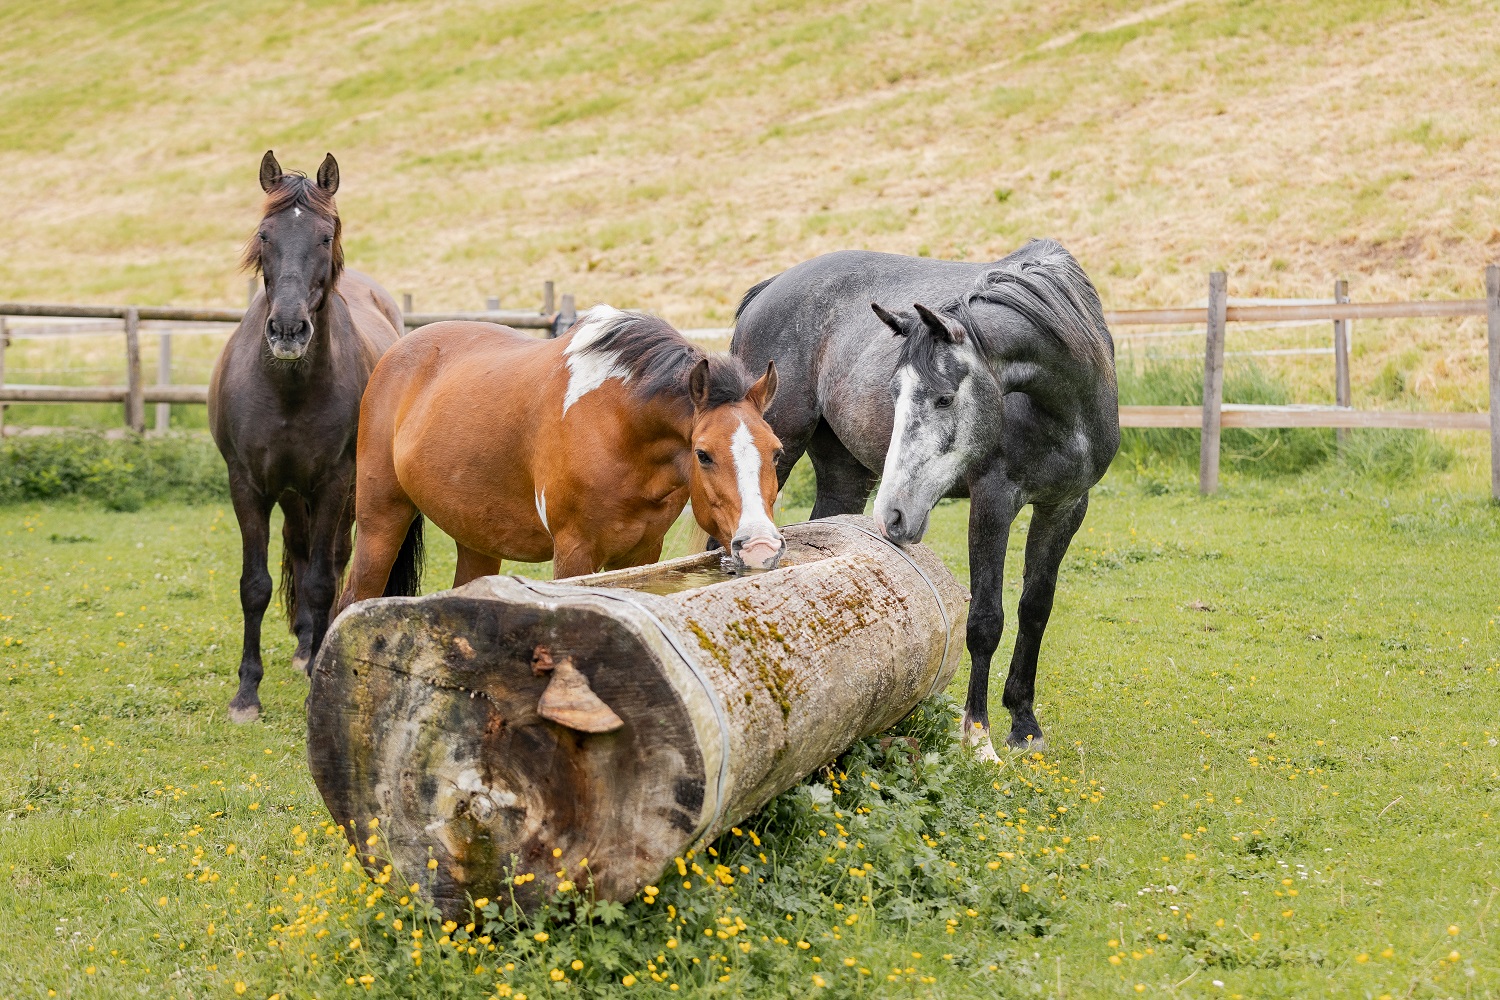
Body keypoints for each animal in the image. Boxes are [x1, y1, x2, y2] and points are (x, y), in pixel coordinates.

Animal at [208, 150, 404, 724]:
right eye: (264, 234)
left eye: (325, 235)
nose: (289, 330)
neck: (289, 388)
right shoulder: (247, 485)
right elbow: (254, 586)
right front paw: (246, 694)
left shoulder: (334, 483)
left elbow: (321, 579)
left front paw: (320, 670)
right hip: (292, 494)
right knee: (297, 547)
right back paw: (300, 646)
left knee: (334, 558)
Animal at [338, 306, 785, 605]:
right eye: (703, 454)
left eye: (776, 452)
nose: (761, 547)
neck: (618, 423)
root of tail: (396, 352)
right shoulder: (574, 552)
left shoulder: (643, 553)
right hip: (381, 521)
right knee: (352, 599)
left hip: (476, 538)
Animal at [731, 239, 1119, 757]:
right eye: (895, 392)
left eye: (945, 399)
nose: (893, 514)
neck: (1065, 404)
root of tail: (768, 289)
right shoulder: (993, 503)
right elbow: (986, 620)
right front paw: (978, 737)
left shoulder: (1066, 506)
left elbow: (1035, 609)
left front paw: (1024, 725)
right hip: (775, 453)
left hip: (844, 474)